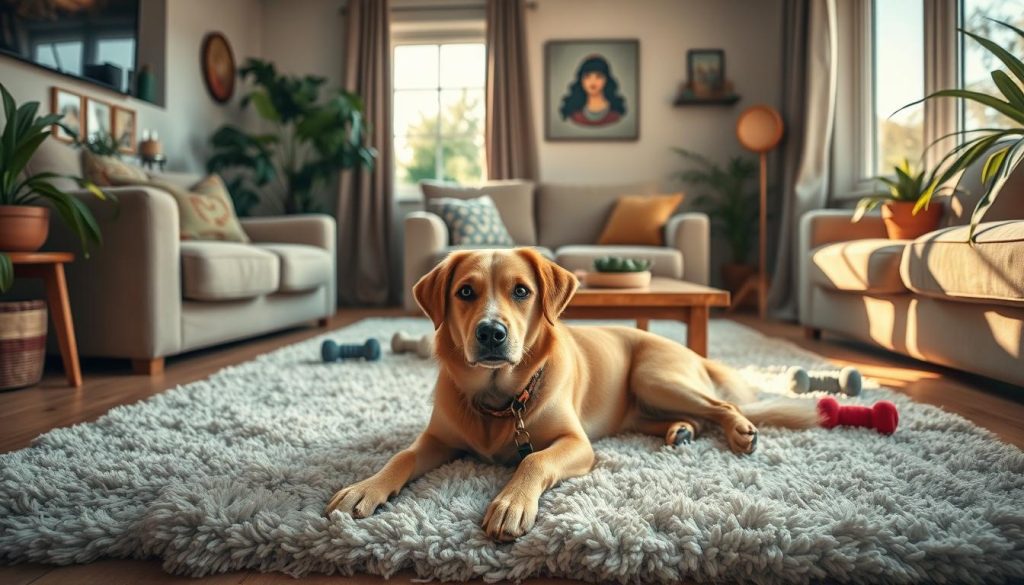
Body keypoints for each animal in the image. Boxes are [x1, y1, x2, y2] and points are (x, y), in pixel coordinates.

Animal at [327, 246, 823, 540]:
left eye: (521, 291)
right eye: (465, 292)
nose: (491, 333)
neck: (500, 401)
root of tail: (688, 352)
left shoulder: (576, 443)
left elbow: (533, 460)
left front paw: (510, 502)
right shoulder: (437, 439)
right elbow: (401, 457)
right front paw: (365, 488)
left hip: (655, 376)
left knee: (723, 404)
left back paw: (740, 431)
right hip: (645, 404)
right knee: (693, 417)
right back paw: (681, 431)